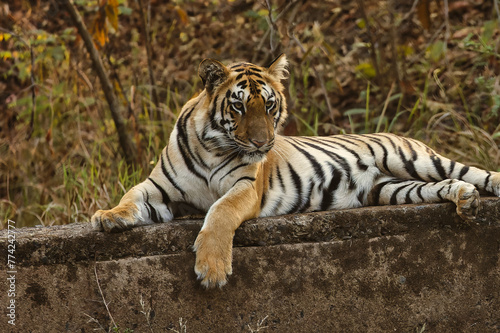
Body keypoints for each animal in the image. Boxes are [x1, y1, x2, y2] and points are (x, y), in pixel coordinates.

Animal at [92, 54, 500, 288]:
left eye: (270, 105)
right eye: (238, 106)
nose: (262, 143)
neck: (212, 146)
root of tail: (398, 133)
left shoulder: (245, 187)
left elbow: (219, 212)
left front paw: (211, 269)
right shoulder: (158, 187)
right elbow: (130, 195)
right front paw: (108, 216)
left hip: (413, 158)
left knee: (473, 171)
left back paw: (482, 190)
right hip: (390, 188)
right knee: (440, 185)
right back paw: (464, 199)